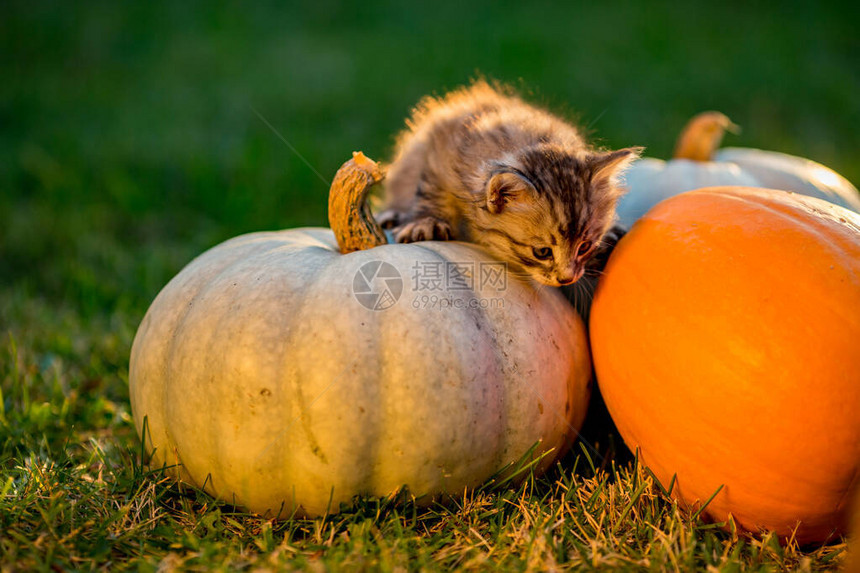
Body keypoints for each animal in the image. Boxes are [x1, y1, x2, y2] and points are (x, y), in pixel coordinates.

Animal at [378, 80, 640, 286]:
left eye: (584, 246)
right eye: (542, 252)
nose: (567, 279)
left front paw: (611, 233)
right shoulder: (441, 146)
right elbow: (431, 189)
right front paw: (425, 222)